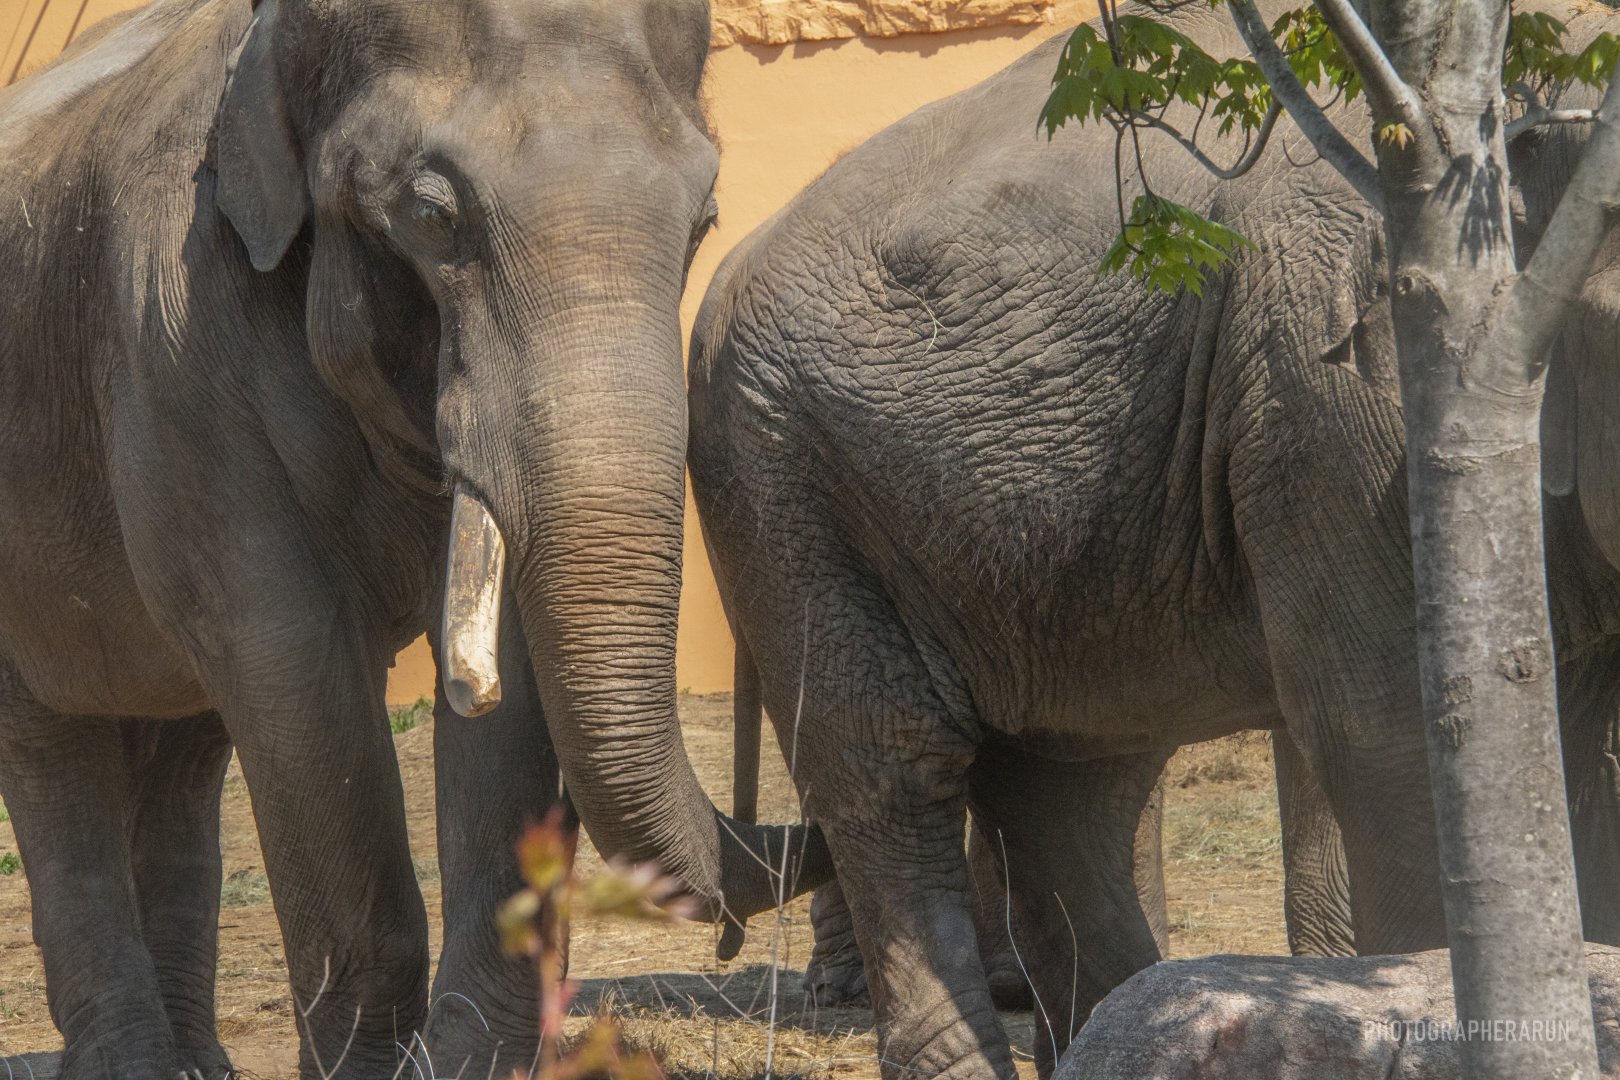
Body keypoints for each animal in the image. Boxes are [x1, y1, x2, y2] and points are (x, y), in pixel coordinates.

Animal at [0, 0, 829, 1076]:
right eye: (434, 219)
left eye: (705, 223)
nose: (802, 837)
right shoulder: (171, 347)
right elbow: (287, 659)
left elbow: (504, 676)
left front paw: (469, 1058)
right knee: (56, 754)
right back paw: (132, 1064)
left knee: (185, 754)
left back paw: (196, 1065)